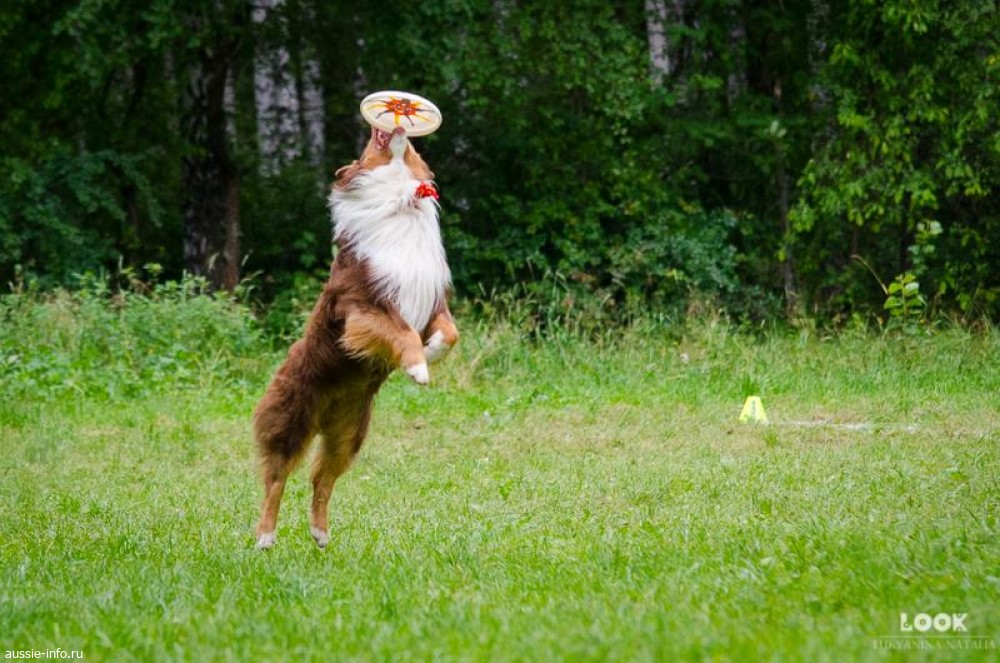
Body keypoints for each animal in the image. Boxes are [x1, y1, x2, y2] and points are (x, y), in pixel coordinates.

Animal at [253, 126, 458, 549]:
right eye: (368, 146)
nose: (388, 127)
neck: (402, 202)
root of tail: (327, 409)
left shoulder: (433, 303)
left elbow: (450, 334)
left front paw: (431, 353)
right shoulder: (361, 308)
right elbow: (402, 333)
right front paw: (418, 368)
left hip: (349, 433)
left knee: (322, 478)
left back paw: (320, 532)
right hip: (293, 416)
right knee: (277, 475)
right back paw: (265, 536)